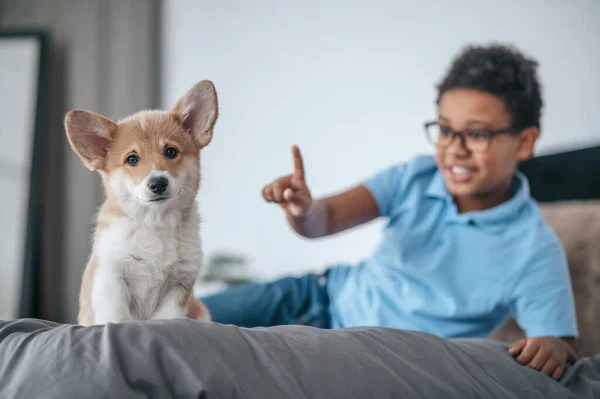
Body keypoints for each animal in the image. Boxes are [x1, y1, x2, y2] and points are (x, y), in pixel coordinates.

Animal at [65, 79, 218, 326]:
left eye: (171, 151)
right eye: (132, 159)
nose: (158, 183)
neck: (155, 223)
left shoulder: (179, 285)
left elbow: (165, 319)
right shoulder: (111, 276)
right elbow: (117, 317)